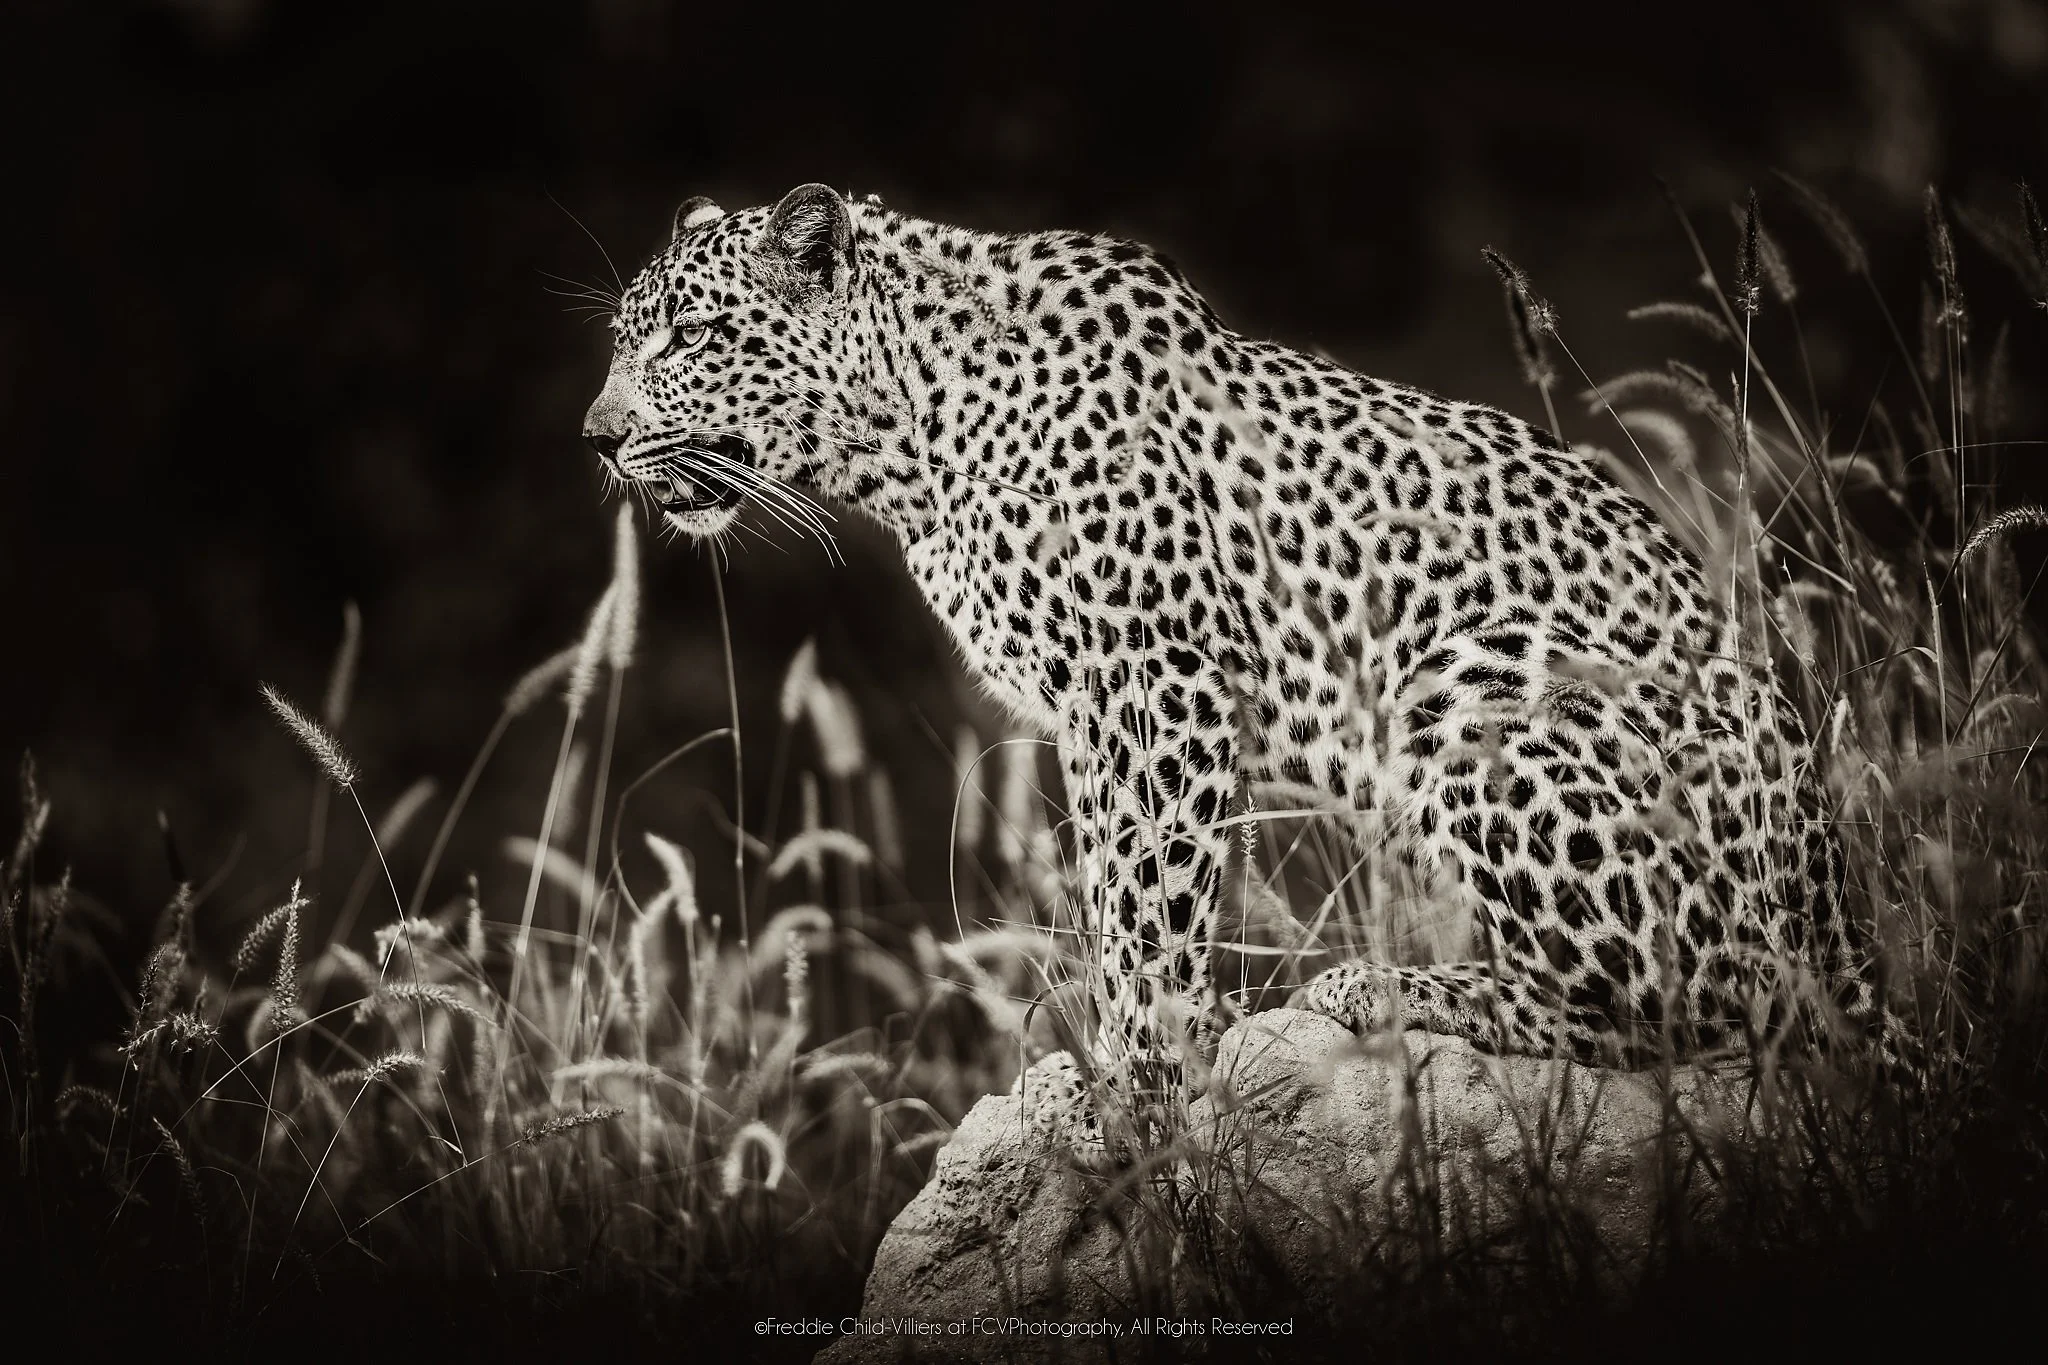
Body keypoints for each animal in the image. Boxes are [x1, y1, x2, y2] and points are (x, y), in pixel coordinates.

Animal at [582, 183, 1913, 1152]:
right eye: (619, 343)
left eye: (691, 337)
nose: (594, 437)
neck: (905, 438)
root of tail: (1836, 901)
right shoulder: (1096, 713)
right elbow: (1116, 898)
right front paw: (1118, 1080)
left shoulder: (1154, 683)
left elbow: (1149, 914)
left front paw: (1142, 1093)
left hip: (1474, 688)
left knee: (1698, 1001)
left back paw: (1373, 992)